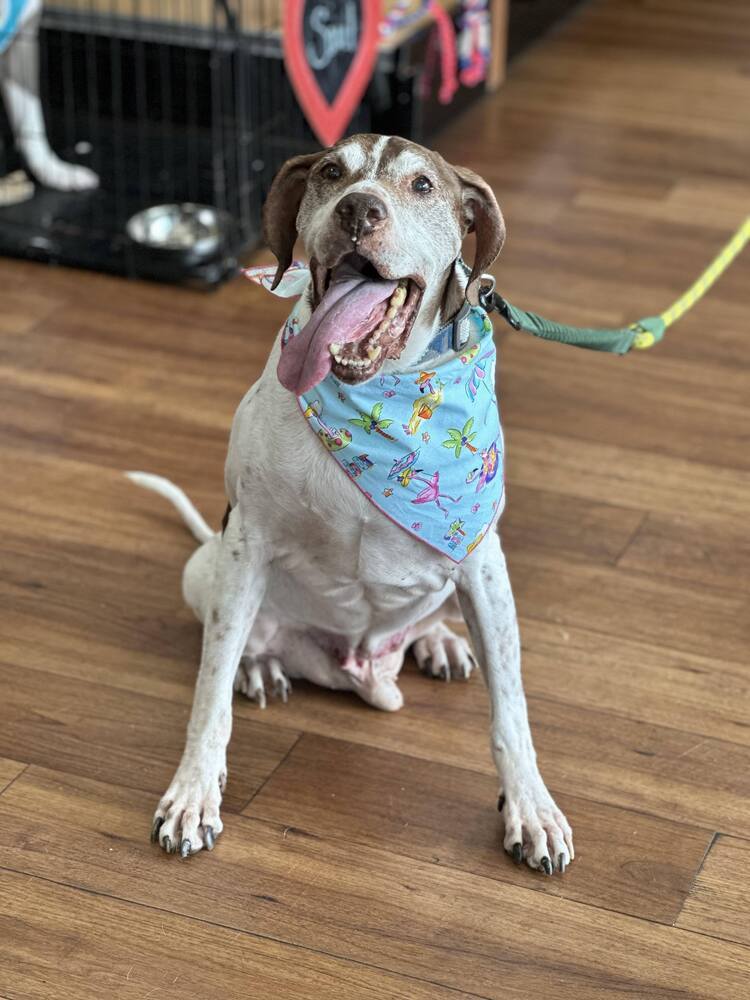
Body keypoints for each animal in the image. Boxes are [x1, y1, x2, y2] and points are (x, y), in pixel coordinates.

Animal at [131, 135, 576, 876]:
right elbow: (208, 694)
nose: (358, 210)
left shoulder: (483, 562)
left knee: (436, 621)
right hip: (207, 568)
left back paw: (438, 641)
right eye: (329, 172)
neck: (380, 400)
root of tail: (362, 669)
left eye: (422, 185)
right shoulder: (245, 547)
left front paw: (531, 809)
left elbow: (511, 712)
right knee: (242, 639)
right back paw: (261, 667)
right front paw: (193, 793)